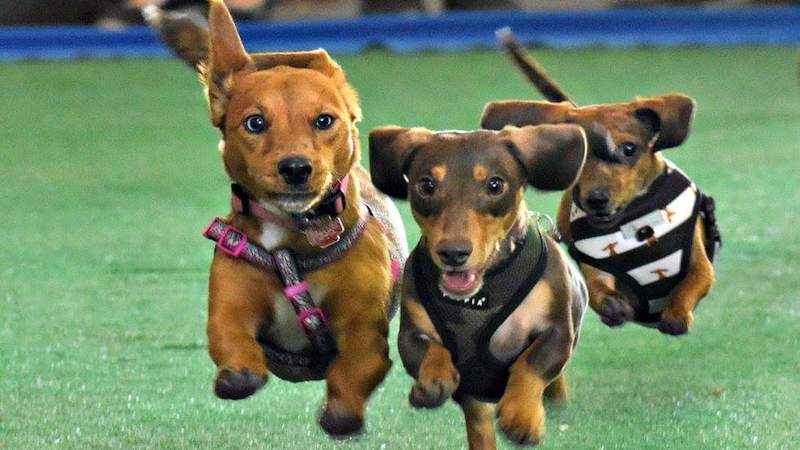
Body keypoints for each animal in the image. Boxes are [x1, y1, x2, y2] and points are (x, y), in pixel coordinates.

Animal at [162, 0, 406, 436]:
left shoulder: (364, 332)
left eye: (325, 120)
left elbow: (352, 369)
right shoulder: (230, 311)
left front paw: (342, 414)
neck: (292, 243)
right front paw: (239, 376)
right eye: (255, 123)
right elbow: (233, 343)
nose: (295, 167)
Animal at [368, 124, 588, 450]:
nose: (453, 253)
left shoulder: (557, 332)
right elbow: (430, 352)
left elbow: (530, 362)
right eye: (426, 185)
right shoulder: (410, 334)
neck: (480, 295)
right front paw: (433, 381)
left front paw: (522, 415)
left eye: (495, 185)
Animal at [482, 32, 724, 334]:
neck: (635, 226)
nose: (596, 200)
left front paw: (677, 313)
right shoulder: (594, 266)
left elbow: (694, 280)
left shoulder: (699, 262)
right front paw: (612, 306)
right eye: (578, 152)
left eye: (629, 149)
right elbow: (596, 287)